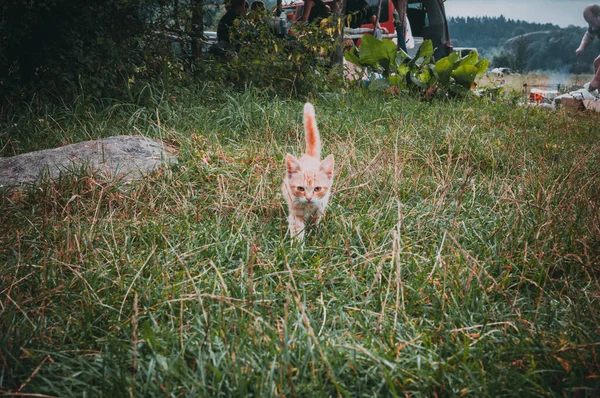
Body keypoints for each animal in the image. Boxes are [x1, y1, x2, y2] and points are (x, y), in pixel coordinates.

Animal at [282, 102, 332, 239]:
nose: (309, 198)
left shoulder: (320, 207)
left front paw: (316, 232)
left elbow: (316, 220)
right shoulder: (295, 213)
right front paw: (298, 244)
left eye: (317, 188)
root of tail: (308, 156)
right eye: (300, 188)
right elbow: (297, 229)